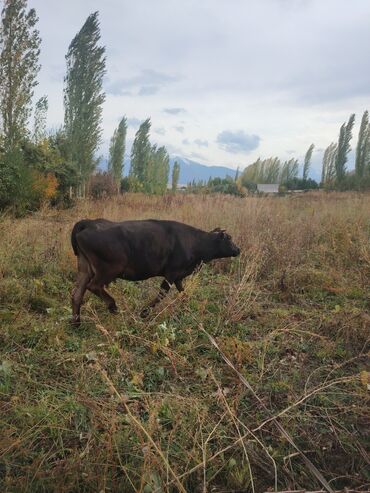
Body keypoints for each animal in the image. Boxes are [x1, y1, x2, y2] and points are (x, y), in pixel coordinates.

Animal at [71, 217, 241, 324]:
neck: (195, 242)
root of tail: (89, 222)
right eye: (229, 238)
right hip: (109, 269)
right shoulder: (171, 273)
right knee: (93, 286)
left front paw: (187, 308)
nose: (238, 249)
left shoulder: (178, 276)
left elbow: (183, 292)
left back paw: (76, 322)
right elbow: (162, 294)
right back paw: (112, 306)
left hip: (85, 269)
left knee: (77, 294)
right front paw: (144, 312)